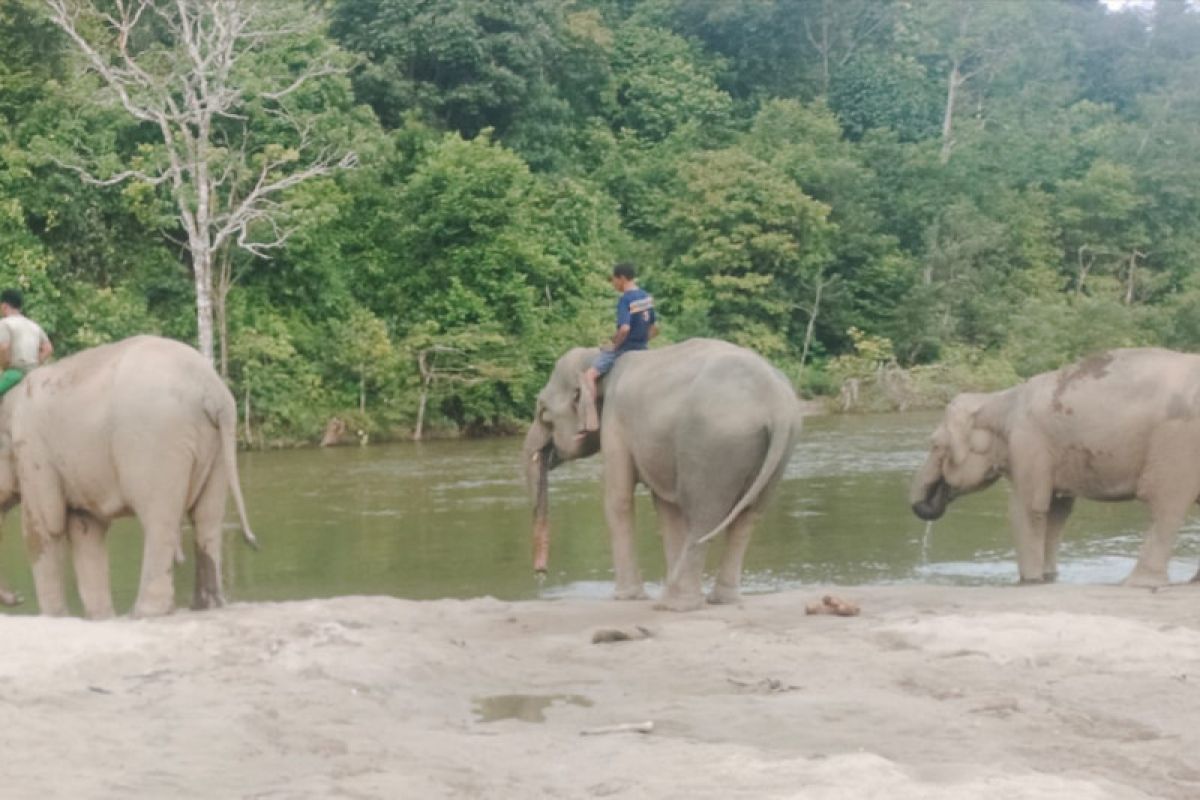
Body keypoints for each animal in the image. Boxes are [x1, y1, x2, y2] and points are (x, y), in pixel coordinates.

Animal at [0, 335, 255, 618]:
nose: (18, 598)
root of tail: (212, 390)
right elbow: (86, 531)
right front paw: (101, 618)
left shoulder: (33, 449)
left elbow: (44, 527)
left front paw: (56, 617)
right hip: (218, 449)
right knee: (207, 518)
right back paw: (206, 605)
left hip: (157, 441)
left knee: (159, 520)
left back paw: (145, 612)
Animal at [520, 335, 801, 609]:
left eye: (543, 413)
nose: (541, 573)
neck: (599, 361)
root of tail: (776, 404)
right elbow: (666, 509)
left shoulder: (615, 421)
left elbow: (618, 500)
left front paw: (626, 597)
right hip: (776, 453)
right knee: (747, 518)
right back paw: (719, 599)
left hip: (713, 449)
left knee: (703, 517)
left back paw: (674, 604)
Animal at [907, 347, 1200, 585]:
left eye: (934, 445)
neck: (997, 400)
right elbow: (1058, 510)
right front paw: (1048, 577)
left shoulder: (1027, 442)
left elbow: (1028, 509)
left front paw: (1030, 580)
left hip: (1178, 443)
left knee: (1164, 505)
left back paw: (1137, 583)